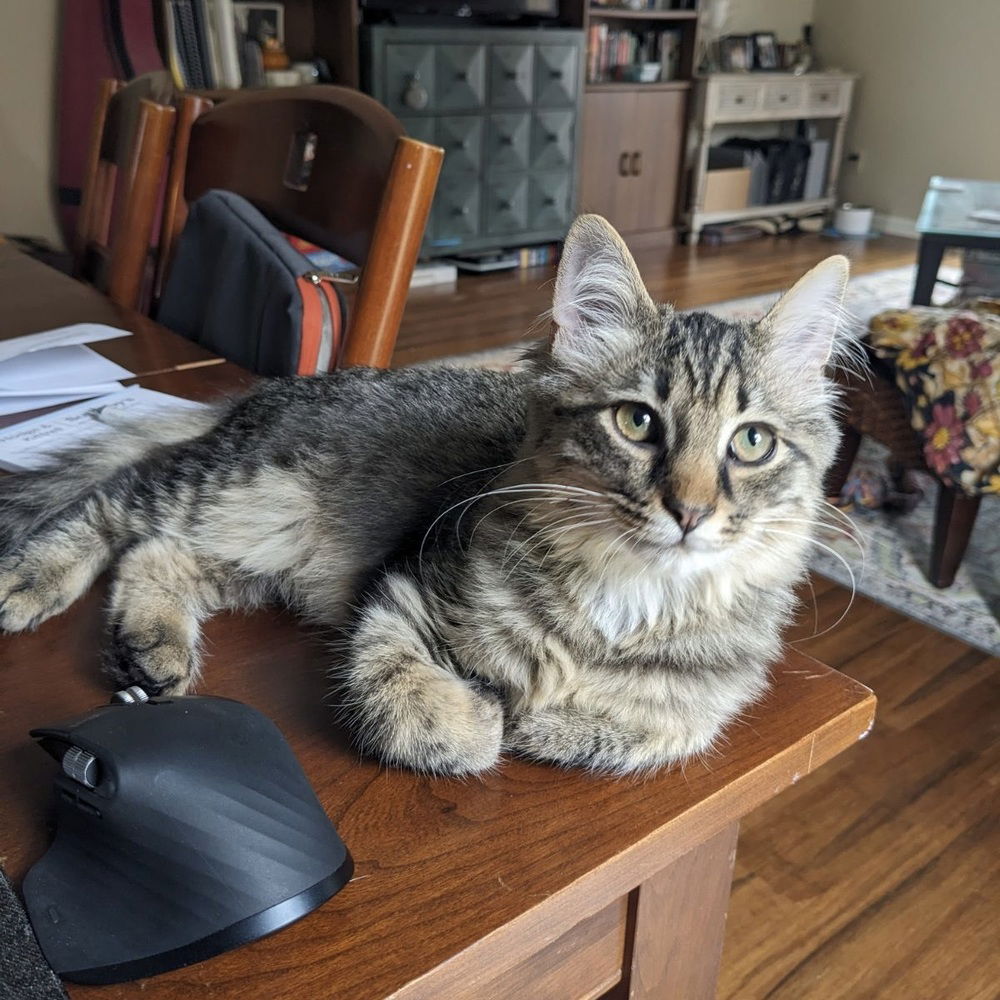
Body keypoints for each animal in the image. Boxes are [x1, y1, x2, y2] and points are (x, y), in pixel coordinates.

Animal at [0, 217, 852, 772]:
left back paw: (152, 649)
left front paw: (541, 722)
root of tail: (265, 393)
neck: (628, 594)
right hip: (248, 495)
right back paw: (26, 581)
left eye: (752, 442)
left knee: (155, 555)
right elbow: (421, 709)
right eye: (638, 422)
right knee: (113, 503)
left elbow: (630, 732)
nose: (691, 512)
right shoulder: (405, 590)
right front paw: (486, 720)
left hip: (262, 548)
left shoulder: (696, 711)